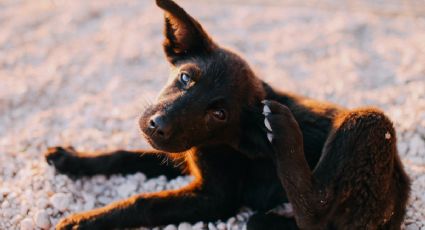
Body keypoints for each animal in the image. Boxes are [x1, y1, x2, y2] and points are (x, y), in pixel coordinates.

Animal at [44, 0, 410, 229]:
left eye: (219, 113)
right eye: (185, 78)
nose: (156, 126)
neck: (218, 142)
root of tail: (401, 192)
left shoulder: (216, 198)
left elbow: (145, 202)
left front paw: (84, 220)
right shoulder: (182, 155)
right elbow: (124, 155)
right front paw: (71, 159)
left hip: (367, 122)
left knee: (317, 215)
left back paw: (282, 131)